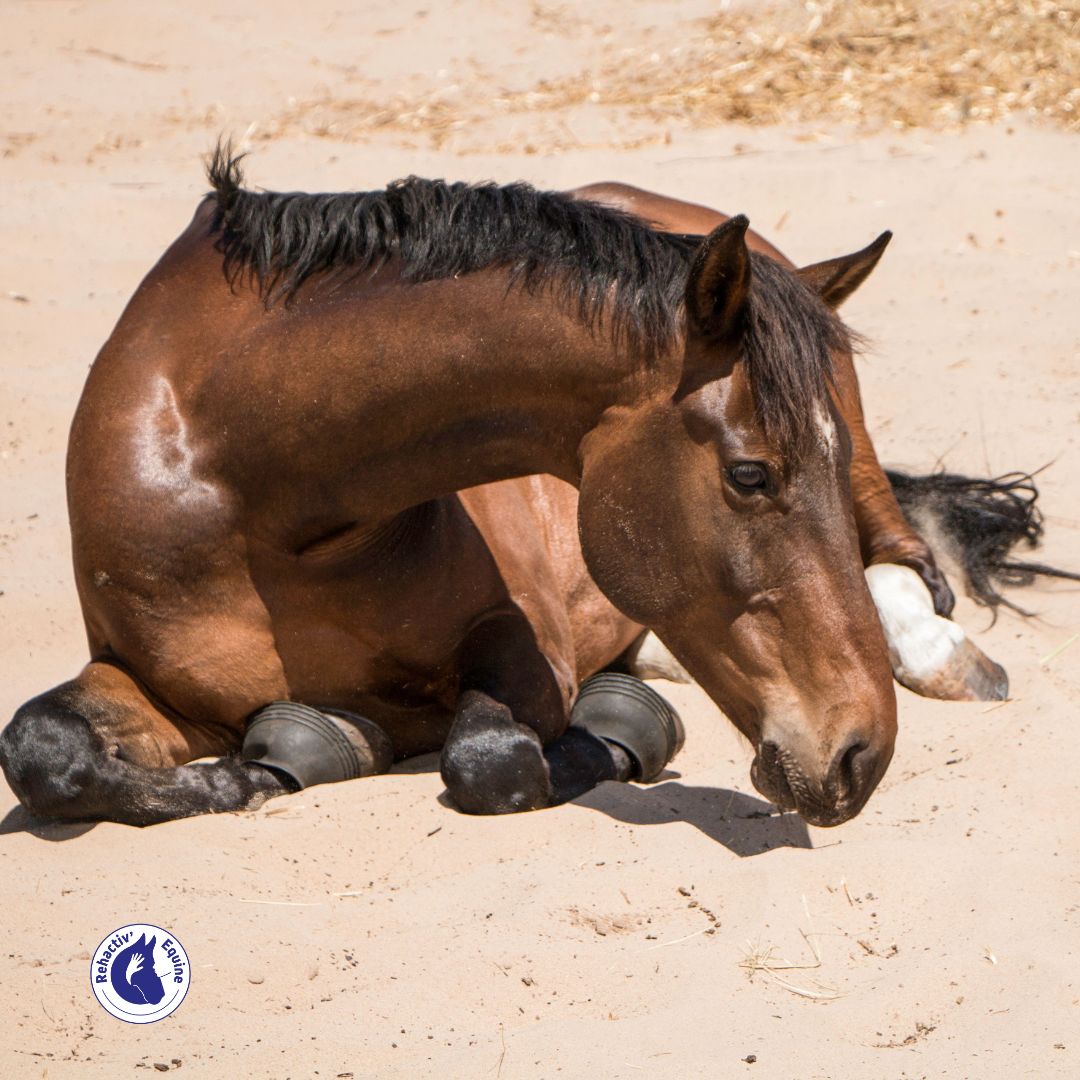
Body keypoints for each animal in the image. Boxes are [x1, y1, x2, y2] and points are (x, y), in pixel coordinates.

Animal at [2, 150, 937, 825]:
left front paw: (623, 729)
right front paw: (244, 779)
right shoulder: (151, 679)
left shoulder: (526, 641)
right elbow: (40, 748)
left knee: (908, 557)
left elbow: (495, 760)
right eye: (751, 474)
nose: (863, 754)